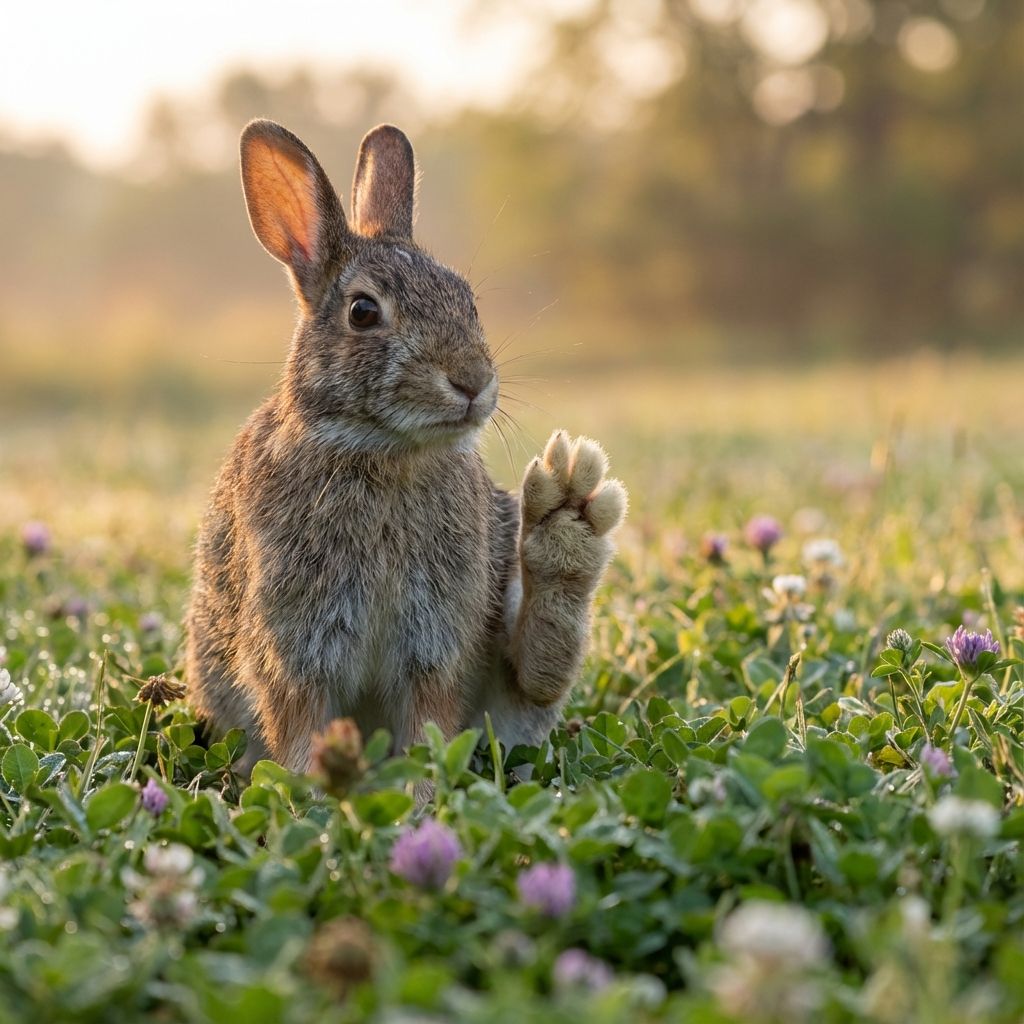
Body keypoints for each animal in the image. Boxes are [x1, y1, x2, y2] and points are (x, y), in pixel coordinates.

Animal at [185, 119, 627, 775]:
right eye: (364, 311)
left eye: (468, 300)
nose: (472, 381)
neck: (385, 453)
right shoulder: (296, 652)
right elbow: (301, 736)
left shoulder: (436, 648)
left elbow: (429, 739)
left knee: (534, 679)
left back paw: (567, 523)